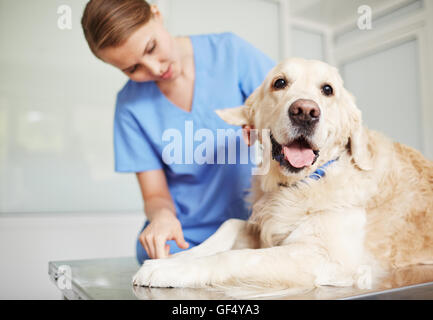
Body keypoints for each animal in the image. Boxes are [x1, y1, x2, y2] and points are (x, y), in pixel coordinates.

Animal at [132, 58, 432, 296]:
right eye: (280, 83)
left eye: (327, 89)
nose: (305, 111)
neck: (302, 183)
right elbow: (229, 226)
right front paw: (175, 258)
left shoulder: (328, 257)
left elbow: (235, 258)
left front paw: (168, 269)